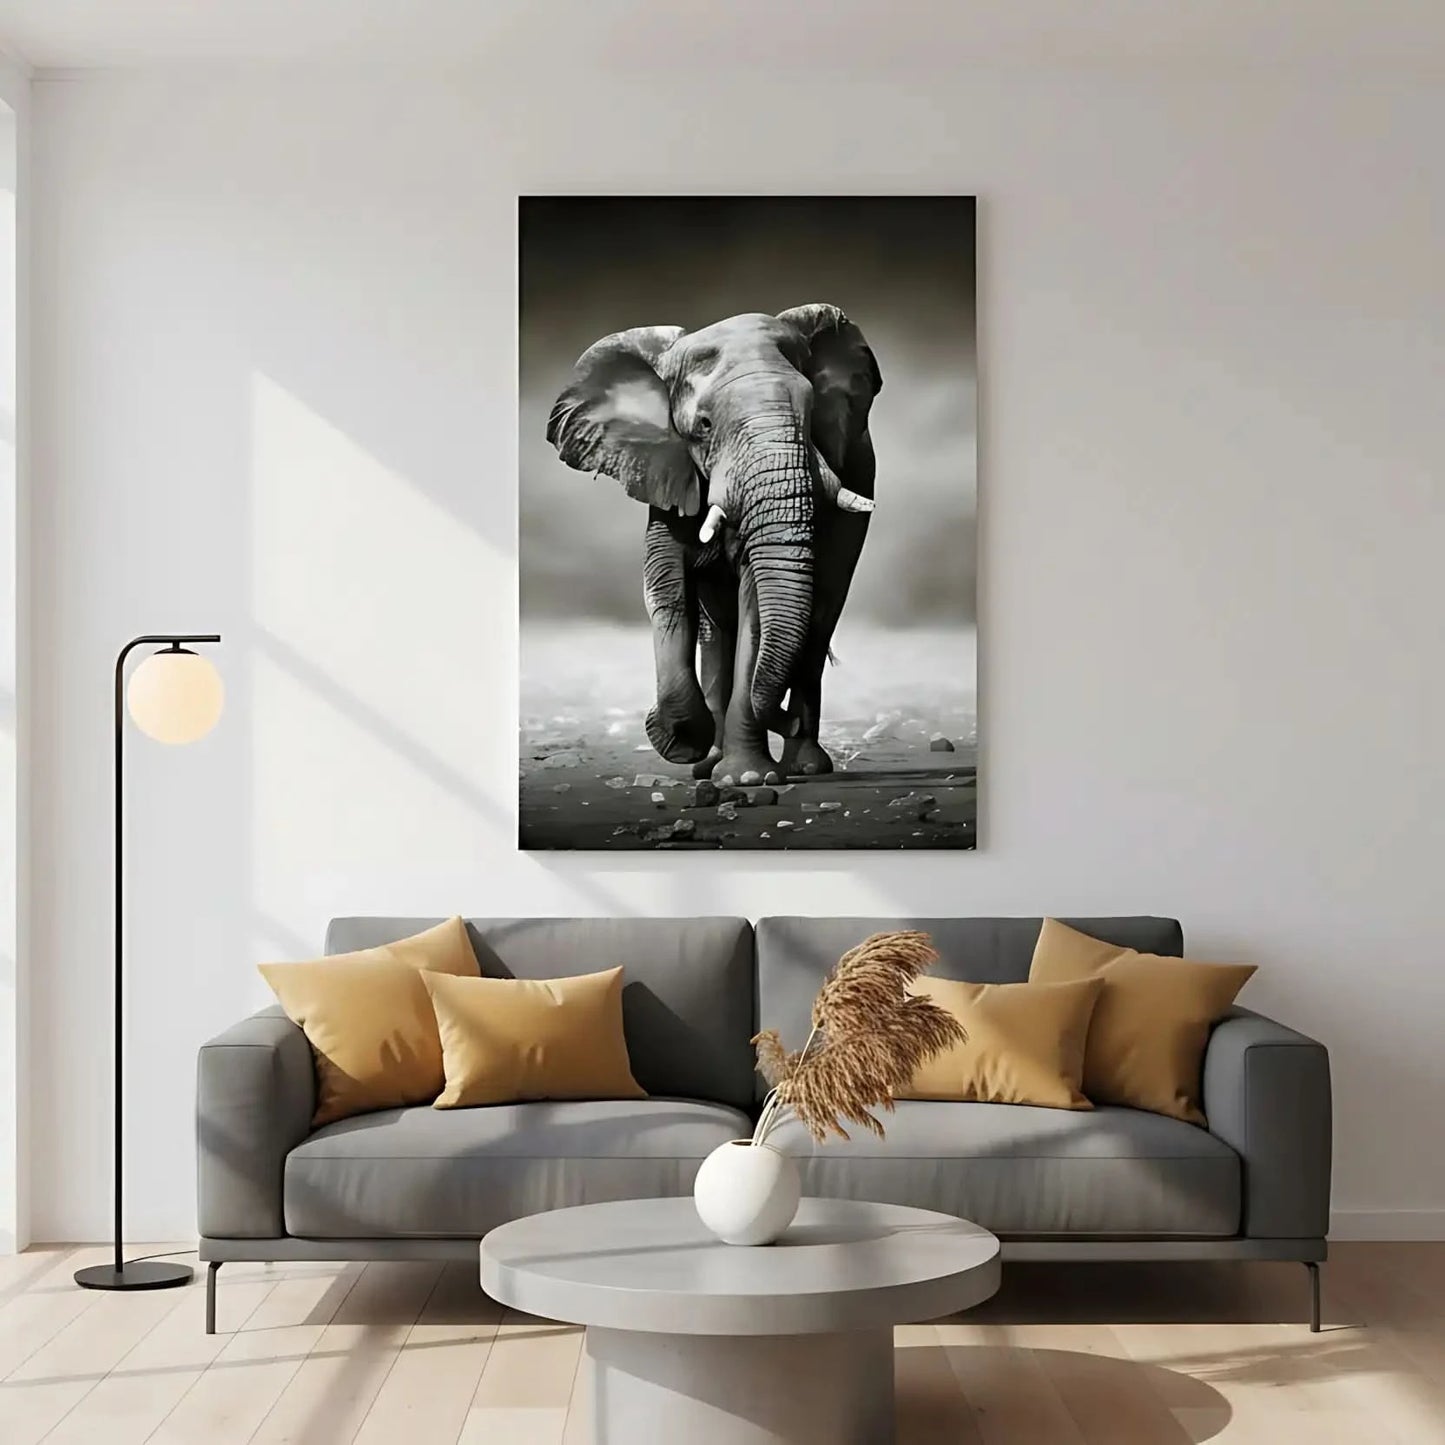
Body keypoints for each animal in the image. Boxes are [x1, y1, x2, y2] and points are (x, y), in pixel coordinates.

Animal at [546, 304, 881, 786]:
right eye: (703, 426)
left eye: (812, 414)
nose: (786, 720)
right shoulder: (668, 473)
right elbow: (666, 588)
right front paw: (683, 741)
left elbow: (755, 604)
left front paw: (747, 779)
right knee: (716, 631)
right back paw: (710, 763)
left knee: (818, 622)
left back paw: (804, 766)